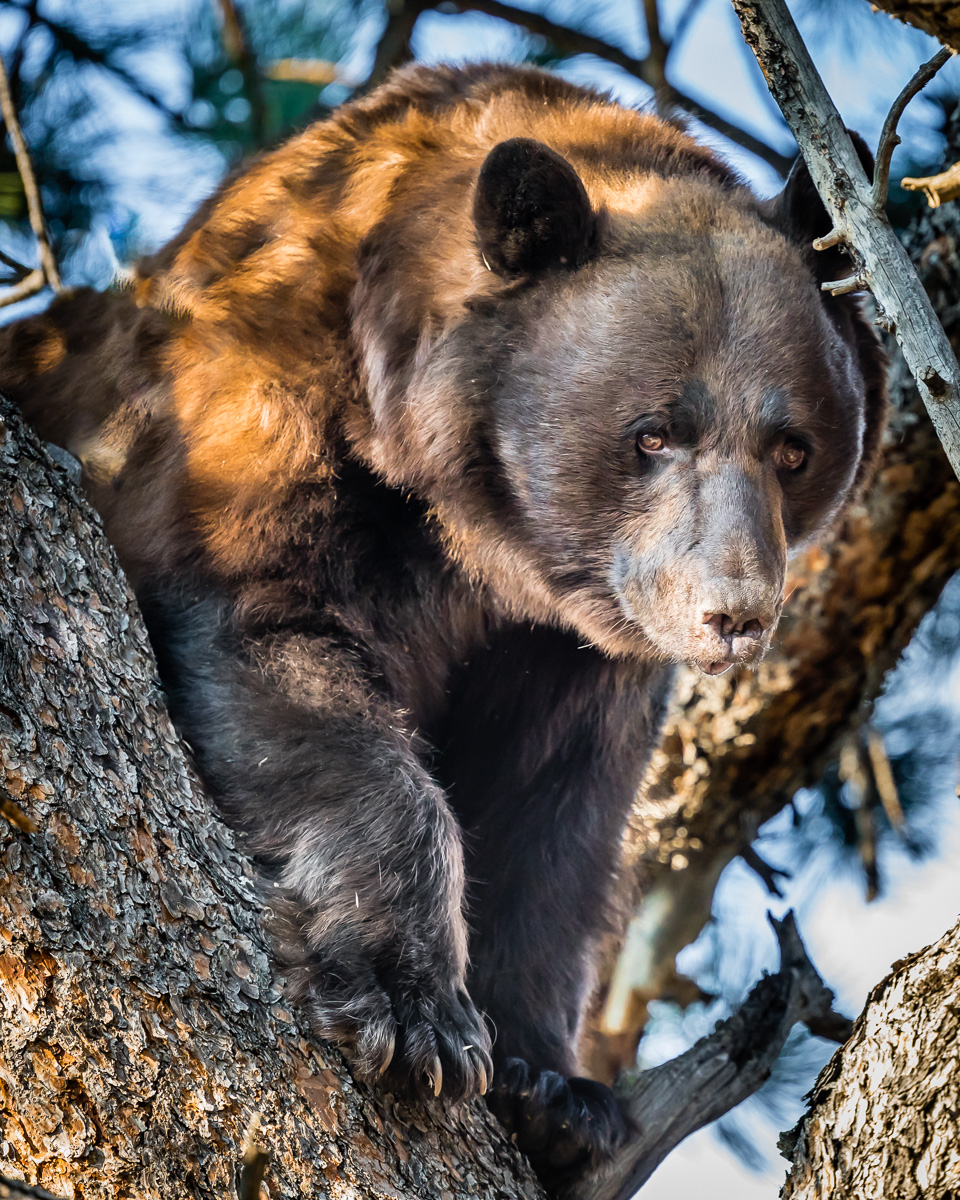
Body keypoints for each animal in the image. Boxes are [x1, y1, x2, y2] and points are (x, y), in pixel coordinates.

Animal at [0, 60, 883, 1185]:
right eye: (653, 432)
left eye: (793, 446)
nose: (733, 612)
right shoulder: (257, 427)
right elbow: (284, 651)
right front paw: (410, 1009)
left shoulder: (570, 648)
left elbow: (557, 813)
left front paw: (553, 1089)